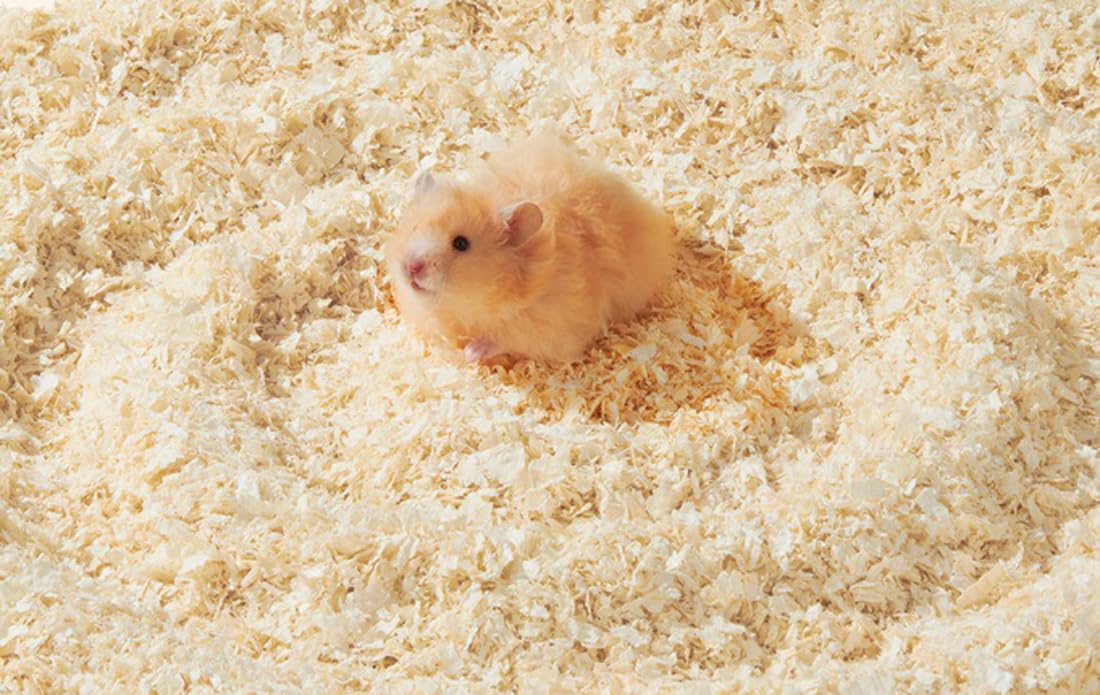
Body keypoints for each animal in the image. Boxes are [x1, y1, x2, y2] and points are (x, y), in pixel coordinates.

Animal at [384, 133, 676, 365]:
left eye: (461, 243)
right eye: (414, 228)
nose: (411, 267)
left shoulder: (543, 327)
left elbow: (502, 340)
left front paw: (470, 353)